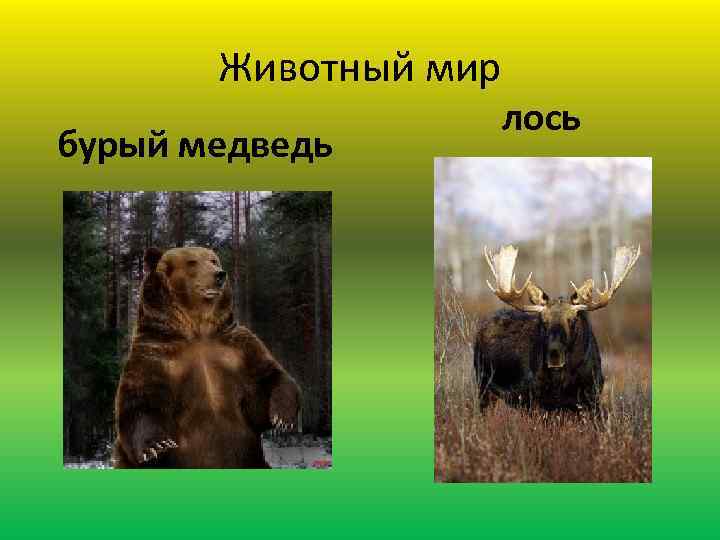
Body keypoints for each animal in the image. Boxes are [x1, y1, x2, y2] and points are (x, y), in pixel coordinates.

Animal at [112, 246, 300, 468]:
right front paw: (156, 446)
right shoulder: (157, 354)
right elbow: (140, 399)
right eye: (192, 262)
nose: (219, 274)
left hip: (255, 461)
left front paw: (282, 417)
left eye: (213, 260)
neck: (196, 327)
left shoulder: (236, 350)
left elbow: (265, 380)